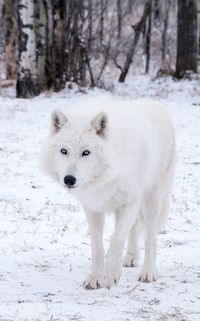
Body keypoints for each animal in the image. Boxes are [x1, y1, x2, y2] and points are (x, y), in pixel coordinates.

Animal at [41, 97, 175, 288]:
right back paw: (131, 257)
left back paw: (148, 272)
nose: (69, 179)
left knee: (150, 237)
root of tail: (156, 104)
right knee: (135, 227)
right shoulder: (93, 208)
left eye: (86, 152)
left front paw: (112, 274)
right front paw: (95, 278)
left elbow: (116, 239)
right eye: (63, 151)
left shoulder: (128, 204)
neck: (107, 176)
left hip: (153, 199)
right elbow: (97, 247)